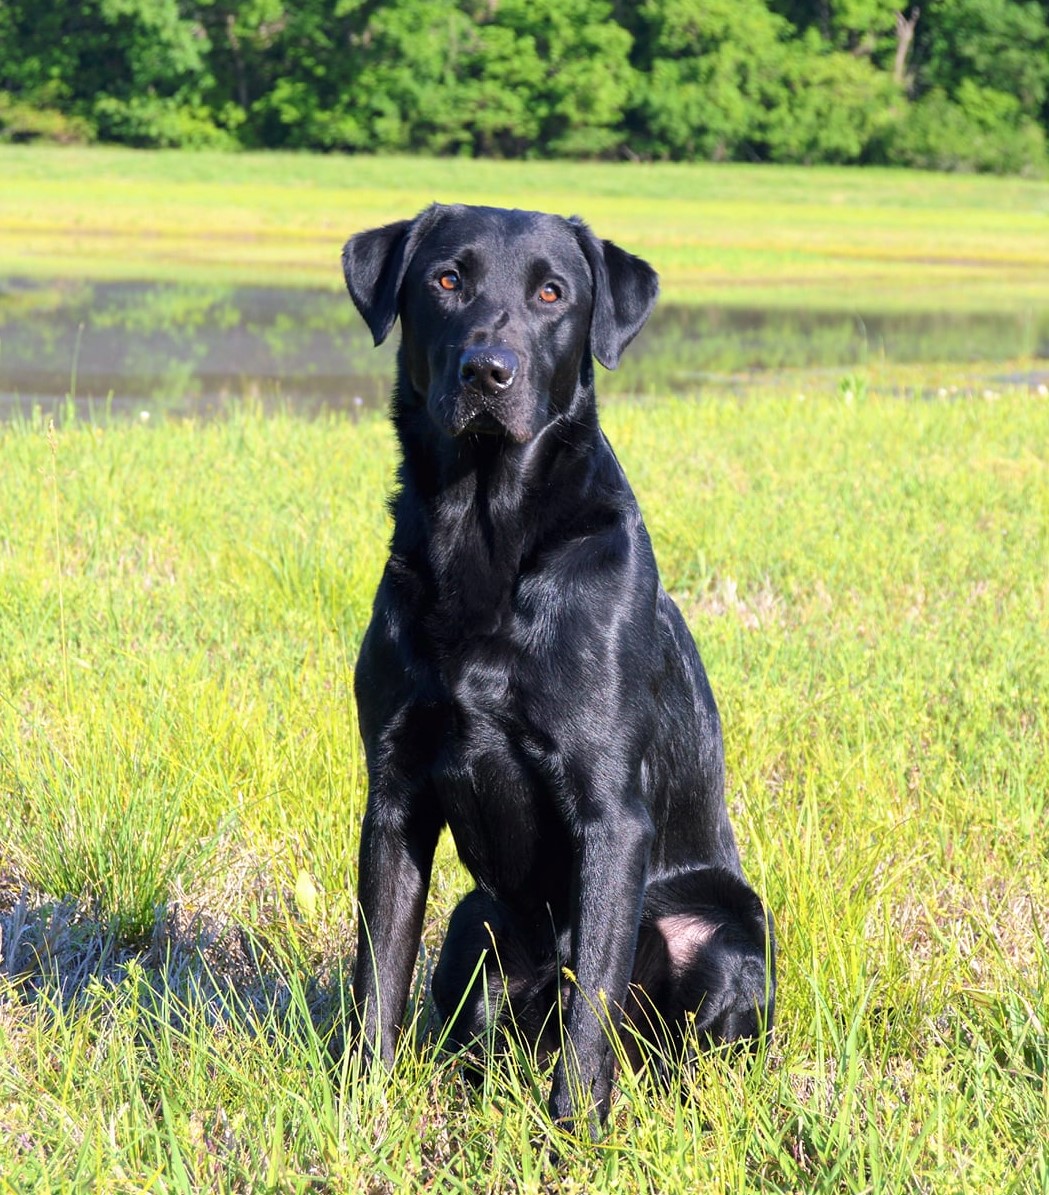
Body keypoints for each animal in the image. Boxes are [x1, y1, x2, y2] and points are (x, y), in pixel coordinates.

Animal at [344, 205, 774, 1128]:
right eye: (446, 279)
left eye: (551, 293)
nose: (487, 370)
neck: (484, 534)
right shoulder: (394, 797)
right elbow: (376, 978)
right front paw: (357, 1110)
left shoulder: (611, 812)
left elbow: (594, 1004)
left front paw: (573, 1131)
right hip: (473, 927)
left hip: (726, 934)